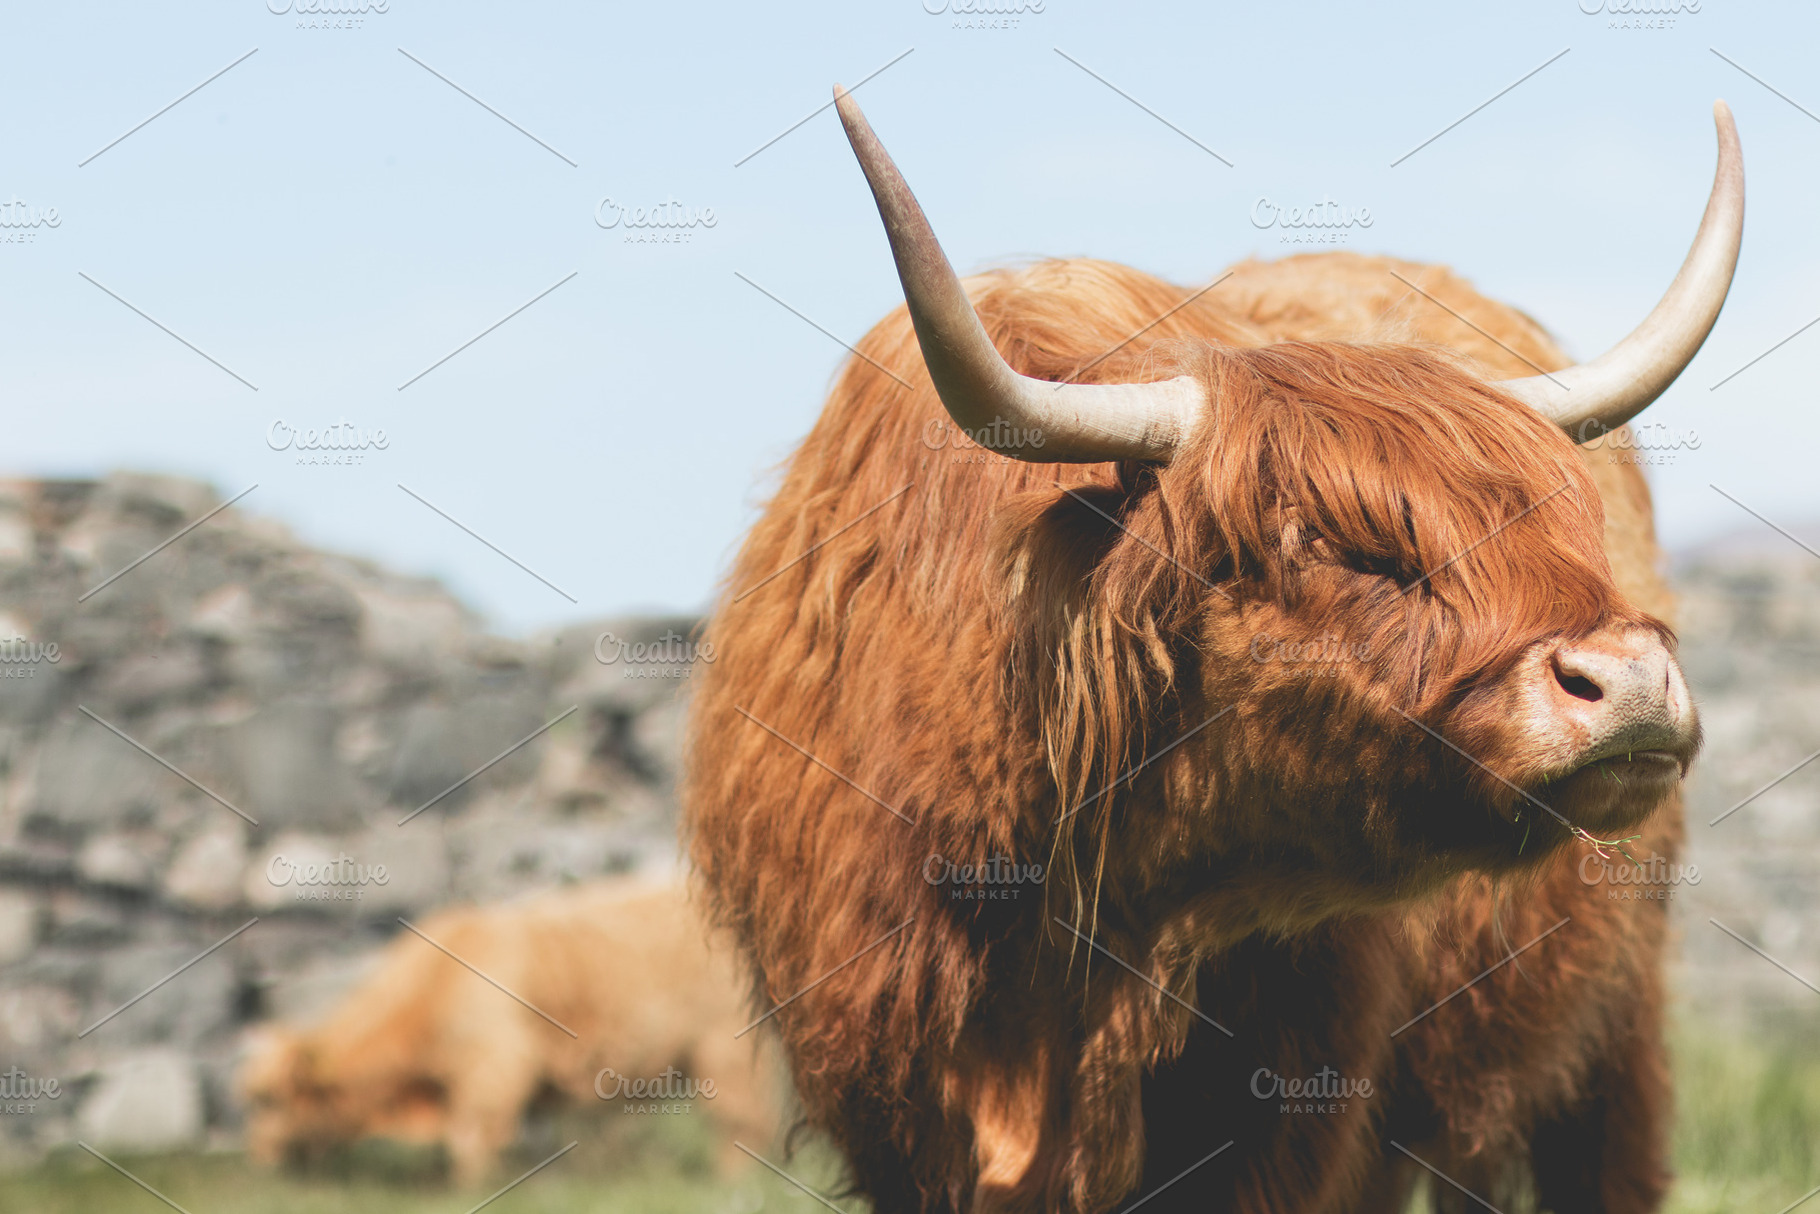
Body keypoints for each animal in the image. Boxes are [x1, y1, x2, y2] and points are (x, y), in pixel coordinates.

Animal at [239, 877, 782, 1186]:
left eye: (269, 1100)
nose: (258, 1160)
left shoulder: (495, 1064)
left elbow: (471, 1139)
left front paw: (472, 1189)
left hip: (727, 1048)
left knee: (742, 1122)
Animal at [682, 87, 1741, 1214]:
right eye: (1319, 539)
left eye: (1564, 520)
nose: (1627, 680)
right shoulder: (888, 1103)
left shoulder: (1286, 1112)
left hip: (1609, 1035)